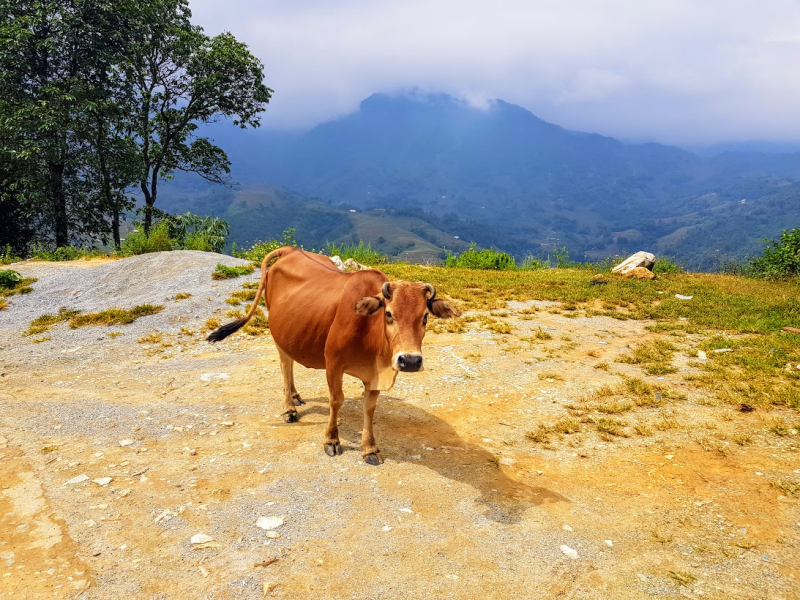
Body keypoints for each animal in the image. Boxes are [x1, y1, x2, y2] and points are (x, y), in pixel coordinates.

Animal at [206, 246, 460, 462]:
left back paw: (295, 395)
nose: (410, 360)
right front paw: (331, 440)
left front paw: (369, 447)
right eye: (388, 314)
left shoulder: (375, 374)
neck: (369, 331)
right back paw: (289, 407)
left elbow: (370, 407)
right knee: (285, 364)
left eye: (425, 316)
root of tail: (290, 250)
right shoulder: (334, 364)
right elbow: (336, 400)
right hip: (278, 332)